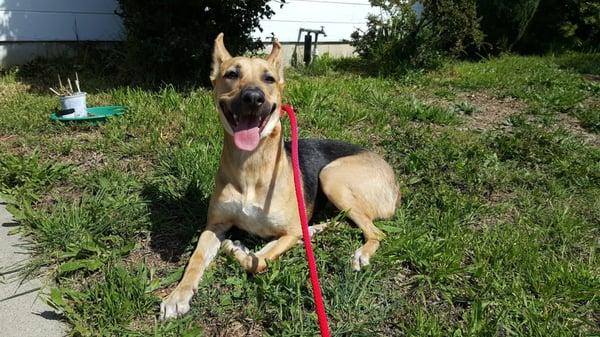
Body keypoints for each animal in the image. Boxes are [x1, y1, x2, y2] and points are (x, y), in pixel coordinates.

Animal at [159, 32, 398, 318]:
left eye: (269, 79)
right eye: (231, 74)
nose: (253, 98)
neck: (251, 165)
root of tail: (393, 179)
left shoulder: (288, 234)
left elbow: (259, 260)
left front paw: (238, 249)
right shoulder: (214, 226)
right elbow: (195, 259)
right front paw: (178, 295)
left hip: (331, 176)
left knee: (376, 232)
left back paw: (361, 252)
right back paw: (315, 229)